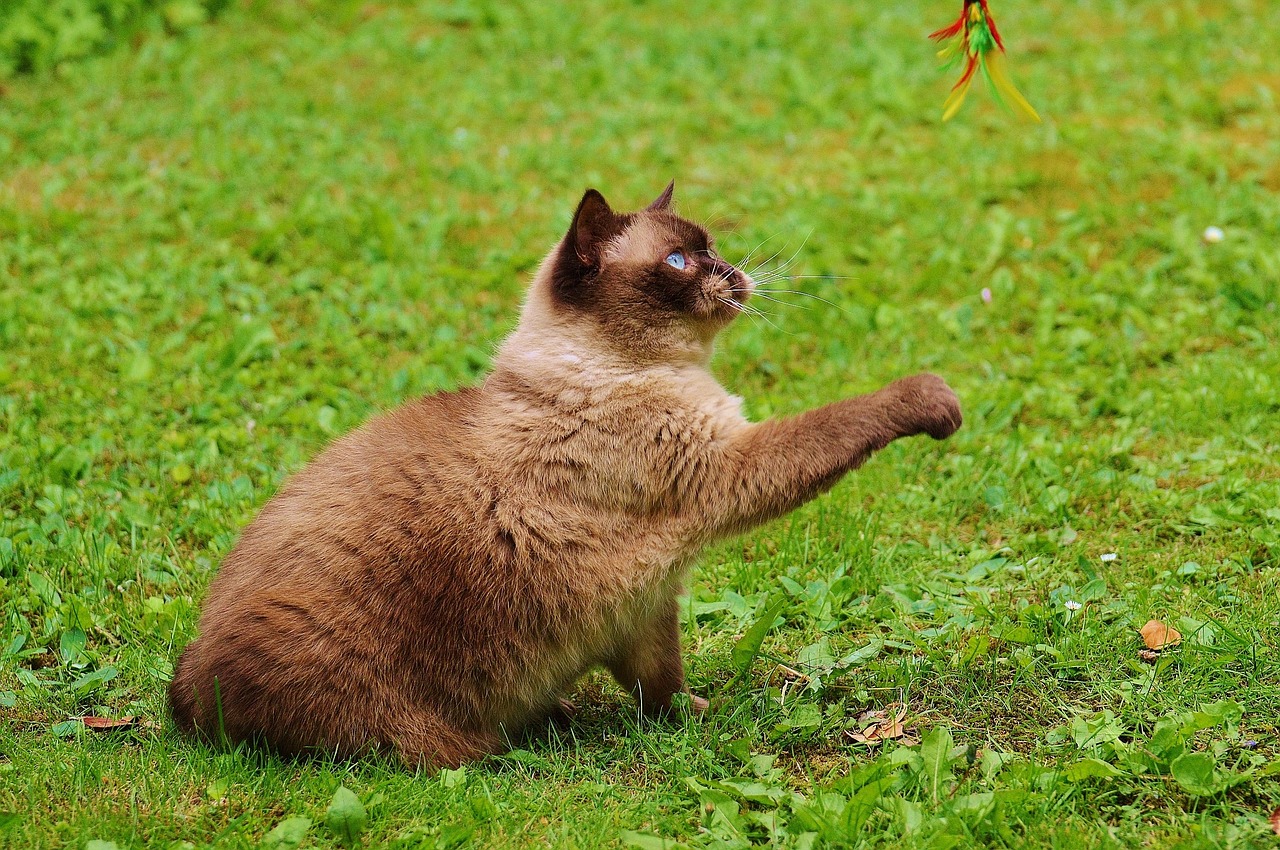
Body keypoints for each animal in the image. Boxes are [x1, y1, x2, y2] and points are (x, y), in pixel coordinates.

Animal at [170, 185, 962, 768]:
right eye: (681, 261)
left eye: (711, 249)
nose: (734, 276)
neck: (631, 367)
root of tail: (184, 691)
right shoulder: (728, 467)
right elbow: (841, 420)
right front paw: (934, 399)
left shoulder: (645, 608)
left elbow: (663, 690)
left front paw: (696, 718)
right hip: (393, 706)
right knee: (423, 749)